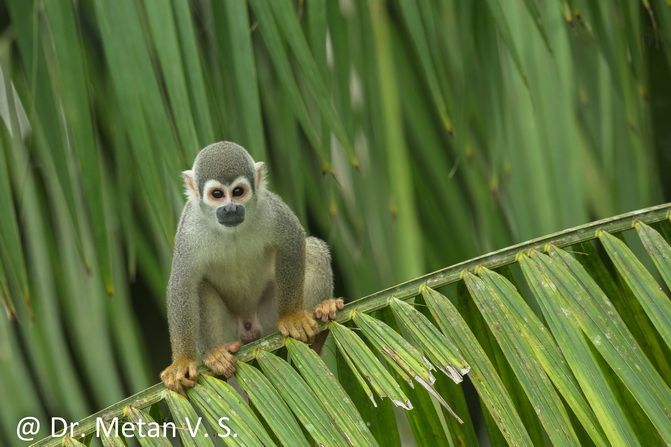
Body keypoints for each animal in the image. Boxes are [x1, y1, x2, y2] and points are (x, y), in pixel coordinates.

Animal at [160, 141, 344, 395]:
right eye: (217, 194)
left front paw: (291, 317)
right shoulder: (189, 230)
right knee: (201, 287)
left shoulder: (270, 207)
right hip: (232, 333)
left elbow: (293, 241)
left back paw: (320, 325)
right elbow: (183, 285)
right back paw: (215, 355)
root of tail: (250, 331)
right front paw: (182, 363)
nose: (230, 209)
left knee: (313, 250)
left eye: (238, 192)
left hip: (267, 319)